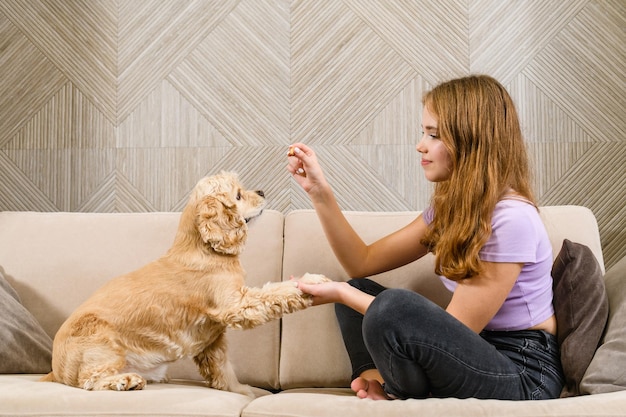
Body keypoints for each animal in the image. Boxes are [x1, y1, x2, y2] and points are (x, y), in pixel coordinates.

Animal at [40, 171, 326, 394]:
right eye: (237, 195)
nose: (262, 191)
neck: (204, 248)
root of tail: (54, 371)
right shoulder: (237, 304)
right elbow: (275, 292)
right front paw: (311, 280)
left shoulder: (213, 338)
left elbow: (223, 369)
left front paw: (242, 391)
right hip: (100, 342)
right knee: (89, 380)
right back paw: (125, 381)